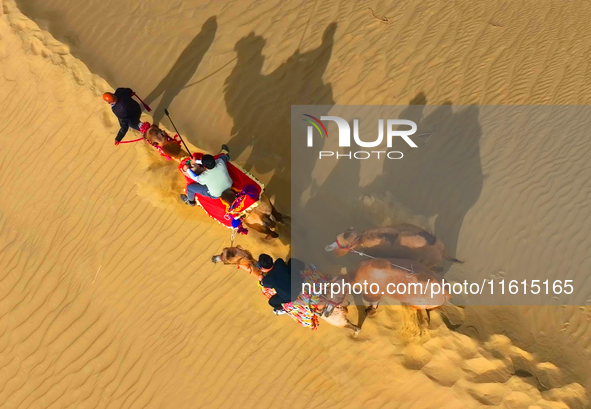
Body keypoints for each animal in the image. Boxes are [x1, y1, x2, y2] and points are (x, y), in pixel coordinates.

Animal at [213, 244, 360, 334]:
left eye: (225, 258)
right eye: (226, 249)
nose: (213, 257)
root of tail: (341, 308)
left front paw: (278, 311)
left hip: (334, 320)